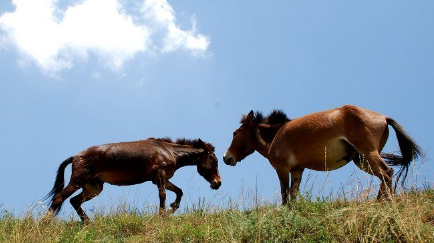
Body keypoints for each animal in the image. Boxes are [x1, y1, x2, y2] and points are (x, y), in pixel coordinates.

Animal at [45, 138, 220, 221]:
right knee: (59, 198)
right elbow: (162, 195)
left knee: (74, 201)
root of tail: (76, 156)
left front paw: (171, 209)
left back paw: (88, 224)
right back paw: (44, 223)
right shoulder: (160, 175)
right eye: (214, 159)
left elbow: (179, 192)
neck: (169, 151)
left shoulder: (161, 179)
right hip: (78, 181)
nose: (218, 183)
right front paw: (162, 215)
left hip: (93, 188)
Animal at [225, 105, 422, 205]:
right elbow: (294, 195)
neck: (277, 135)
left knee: (386, 173)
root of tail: (383, 117)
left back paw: (384, 203)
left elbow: (285, 195)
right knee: (384, 176)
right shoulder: (297, 170)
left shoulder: (282, 169)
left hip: (369, 154)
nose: (227, 158)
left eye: (235, 133)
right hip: (362, 160)